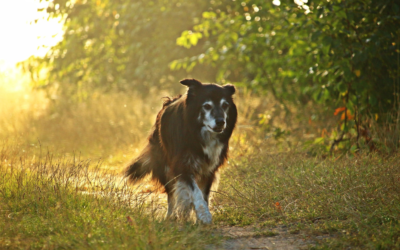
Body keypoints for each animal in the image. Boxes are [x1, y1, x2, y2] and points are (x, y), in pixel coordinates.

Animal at [126, 78, 236, 223]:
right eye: (207, 106)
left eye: (225, 105)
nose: (221, 122)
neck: (198, 134)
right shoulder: (183, 165)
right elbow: (195, 192)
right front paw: (204, 215)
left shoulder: (209, 169)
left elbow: (203, 194)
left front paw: (198, 216)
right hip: (165, 167)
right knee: (171, 193)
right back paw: (171, 215)